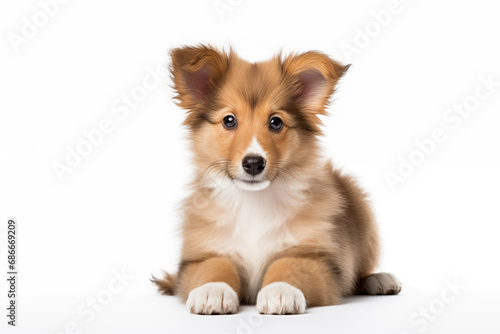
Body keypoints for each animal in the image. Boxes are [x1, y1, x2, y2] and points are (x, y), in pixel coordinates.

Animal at [154, 45, 400, 316]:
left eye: (276, 122)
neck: (253, 201)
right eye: (229, 120)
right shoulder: (198, 258)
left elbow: (288, 266)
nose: (253, 163)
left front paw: (281, 291)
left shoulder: (316, 259)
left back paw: (380, 280)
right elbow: (215, 266)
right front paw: (213, 289)